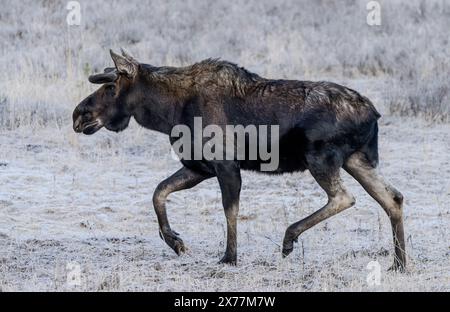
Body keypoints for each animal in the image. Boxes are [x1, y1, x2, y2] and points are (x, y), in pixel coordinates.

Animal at [72, 48, 406, 270]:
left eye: (111, 86)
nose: (79, 115)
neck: (167, 112)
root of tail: (374, 113)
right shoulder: (198, 166)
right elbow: (159, 192)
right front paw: (175, 241)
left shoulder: (225, 163)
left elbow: (229, 210)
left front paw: (229, 257)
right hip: (356, 160)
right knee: (393, 198)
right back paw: (399, 263)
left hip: (321, 158)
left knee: (344, 197)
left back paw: (289, 238)